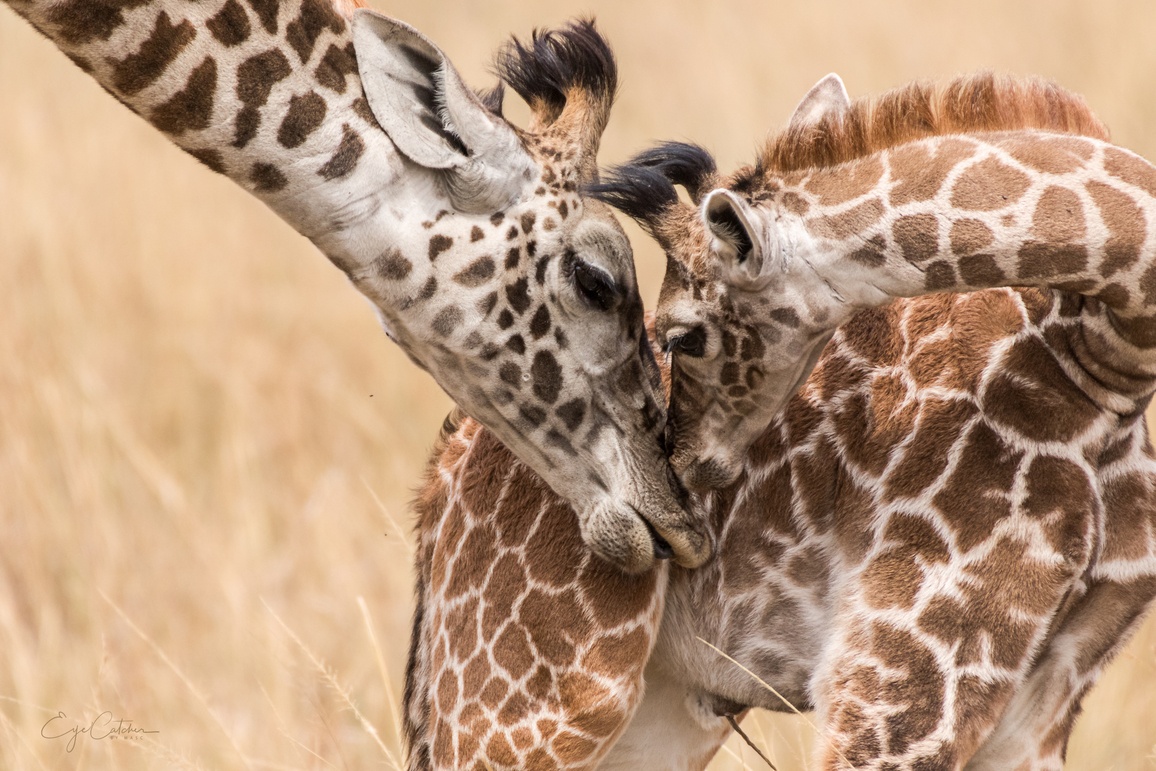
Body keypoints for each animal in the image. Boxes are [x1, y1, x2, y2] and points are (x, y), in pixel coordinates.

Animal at [406, 75, 1156, 767]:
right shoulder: (902, 669)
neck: (1099, 362)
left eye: (684, 336)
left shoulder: (1046, 693)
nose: (682, 470)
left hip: (656, 707)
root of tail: (444, 477)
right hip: (541, 698)